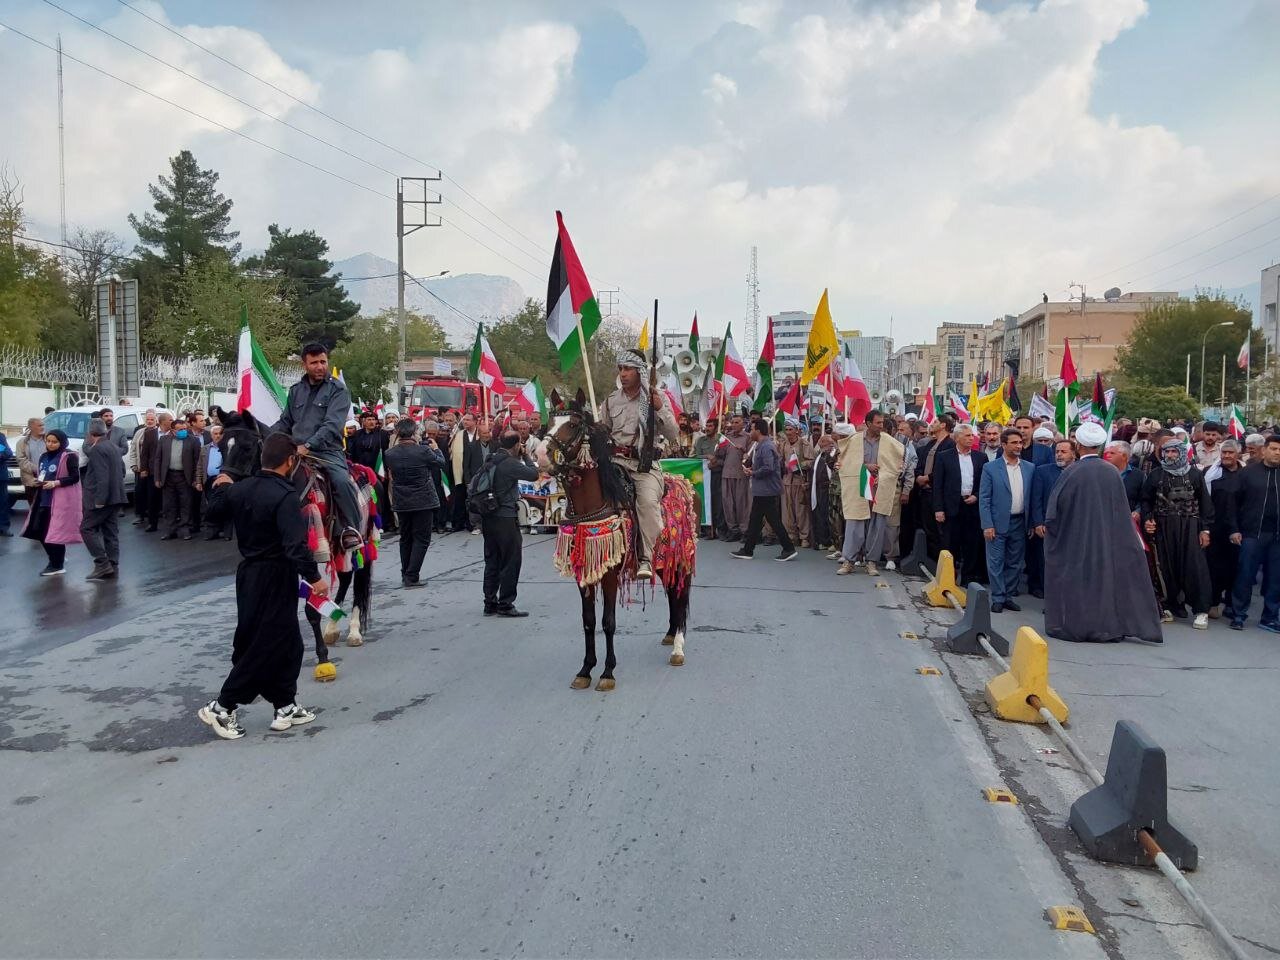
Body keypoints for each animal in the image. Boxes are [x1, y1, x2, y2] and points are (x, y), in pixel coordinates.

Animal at [542, 407, 696, 691]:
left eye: (573, 424)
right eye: (550, 422)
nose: (539, 454)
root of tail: (683, 483)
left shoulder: (611, 572)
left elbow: (608, 622)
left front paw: (607, 673)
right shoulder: (583, 573)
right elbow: (589, 621)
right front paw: (585, 670)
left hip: (681, 558)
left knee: (680, 597)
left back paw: (678, 648)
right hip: (662, 560)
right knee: (672, 593)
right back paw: (670, 635)